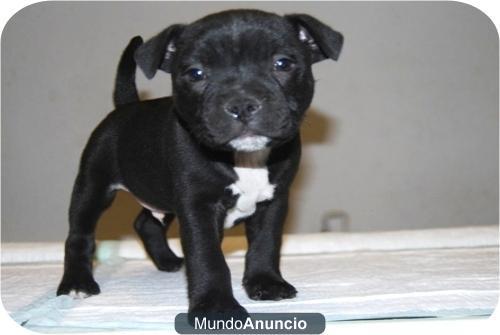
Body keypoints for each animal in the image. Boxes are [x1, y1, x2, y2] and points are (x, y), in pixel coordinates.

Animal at [56, 9, 342, 316]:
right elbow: (208, 257)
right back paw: (77, 283)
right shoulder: (197, 206)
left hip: (160, 195)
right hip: (92, 187)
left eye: (283, 64)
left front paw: (266, 283)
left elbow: (266, 243)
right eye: (195, 73)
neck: (244, 159)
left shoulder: (273, 202)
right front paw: (216, 306)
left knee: (146, 222)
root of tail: (126, 107)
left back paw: (168, 261)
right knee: (80, 234)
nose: (241, 104)